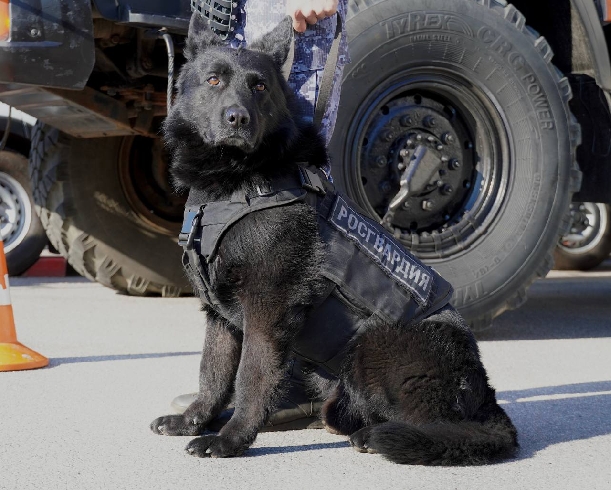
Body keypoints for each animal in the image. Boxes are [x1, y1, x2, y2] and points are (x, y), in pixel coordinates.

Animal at [151, 11, 520, 464]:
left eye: (260, 86)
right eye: (214, 80)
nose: (238, 119)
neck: (237, 186)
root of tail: (483, 395)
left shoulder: (266, 311)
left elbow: (251, 377)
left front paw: (231, 439)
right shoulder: (221, 318)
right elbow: (212, 374)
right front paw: (194, 420)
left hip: (373, 344)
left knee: (443, 427)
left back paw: (382, 436)